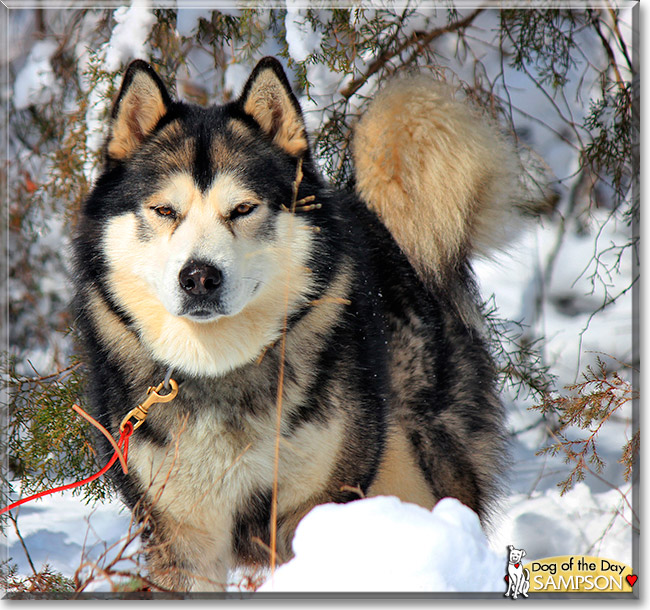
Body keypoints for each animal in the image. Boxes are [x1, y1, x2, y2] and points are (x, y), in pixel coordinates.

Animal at [72, 55, 528, 588]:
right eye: (165, 210)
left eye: (243, 209)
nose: (199, 277)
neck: (220, 370)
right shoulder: (182, 537)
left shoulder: (315, 506)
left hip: (413, 467)